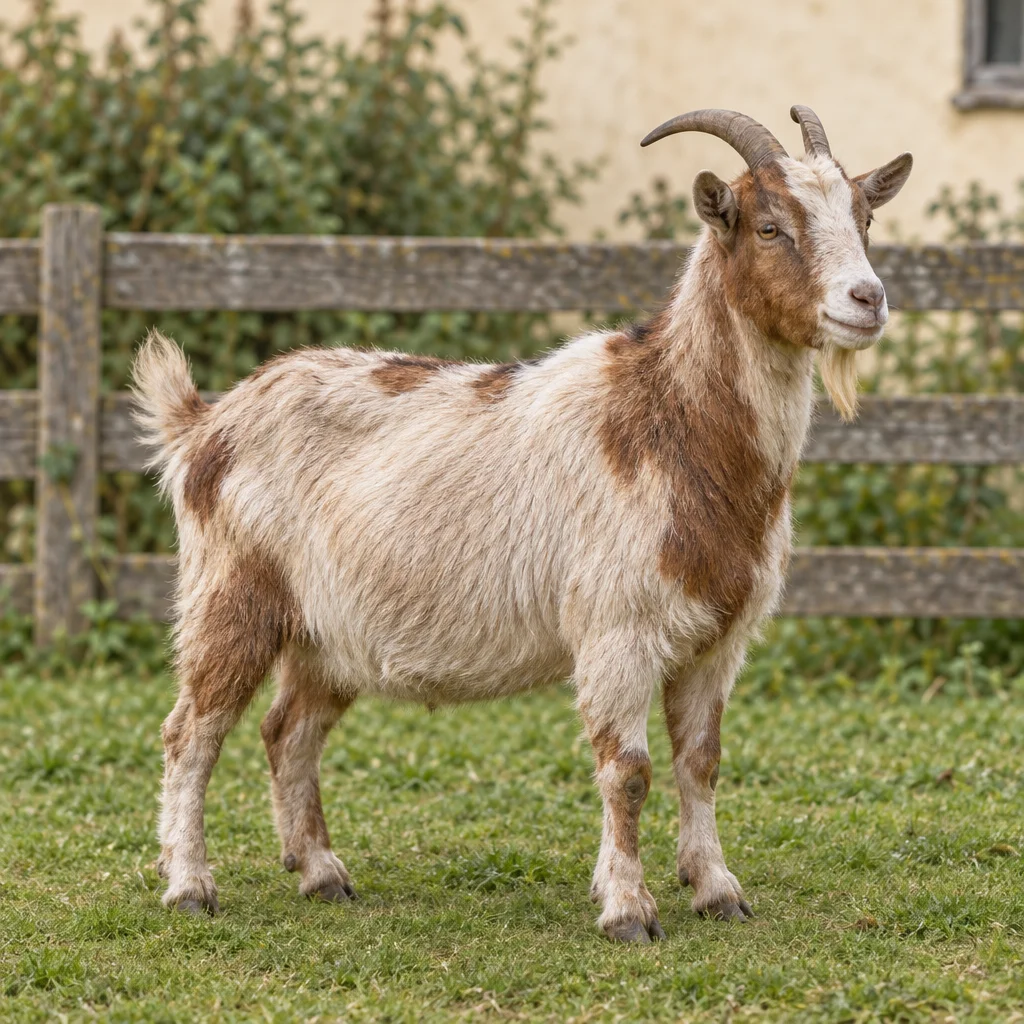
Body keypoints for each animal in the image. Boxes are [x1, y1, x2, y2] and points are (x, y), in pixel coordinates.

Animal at [132, 106, 912, 942]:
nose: (867, 299)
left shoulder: (719, 637)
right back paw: (189, 885)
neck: (673, 420)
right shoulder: (616, 628)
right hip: (231, 594)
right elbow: (628, 771)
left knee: (289, 731)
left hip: (327, 632)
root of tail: (203, 423)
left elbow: (700, 761)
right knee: (192, 732)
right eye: (770, 227)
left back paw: (320, 872)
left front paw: (715, 888)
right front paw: (628, 909)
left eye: (864, 218)